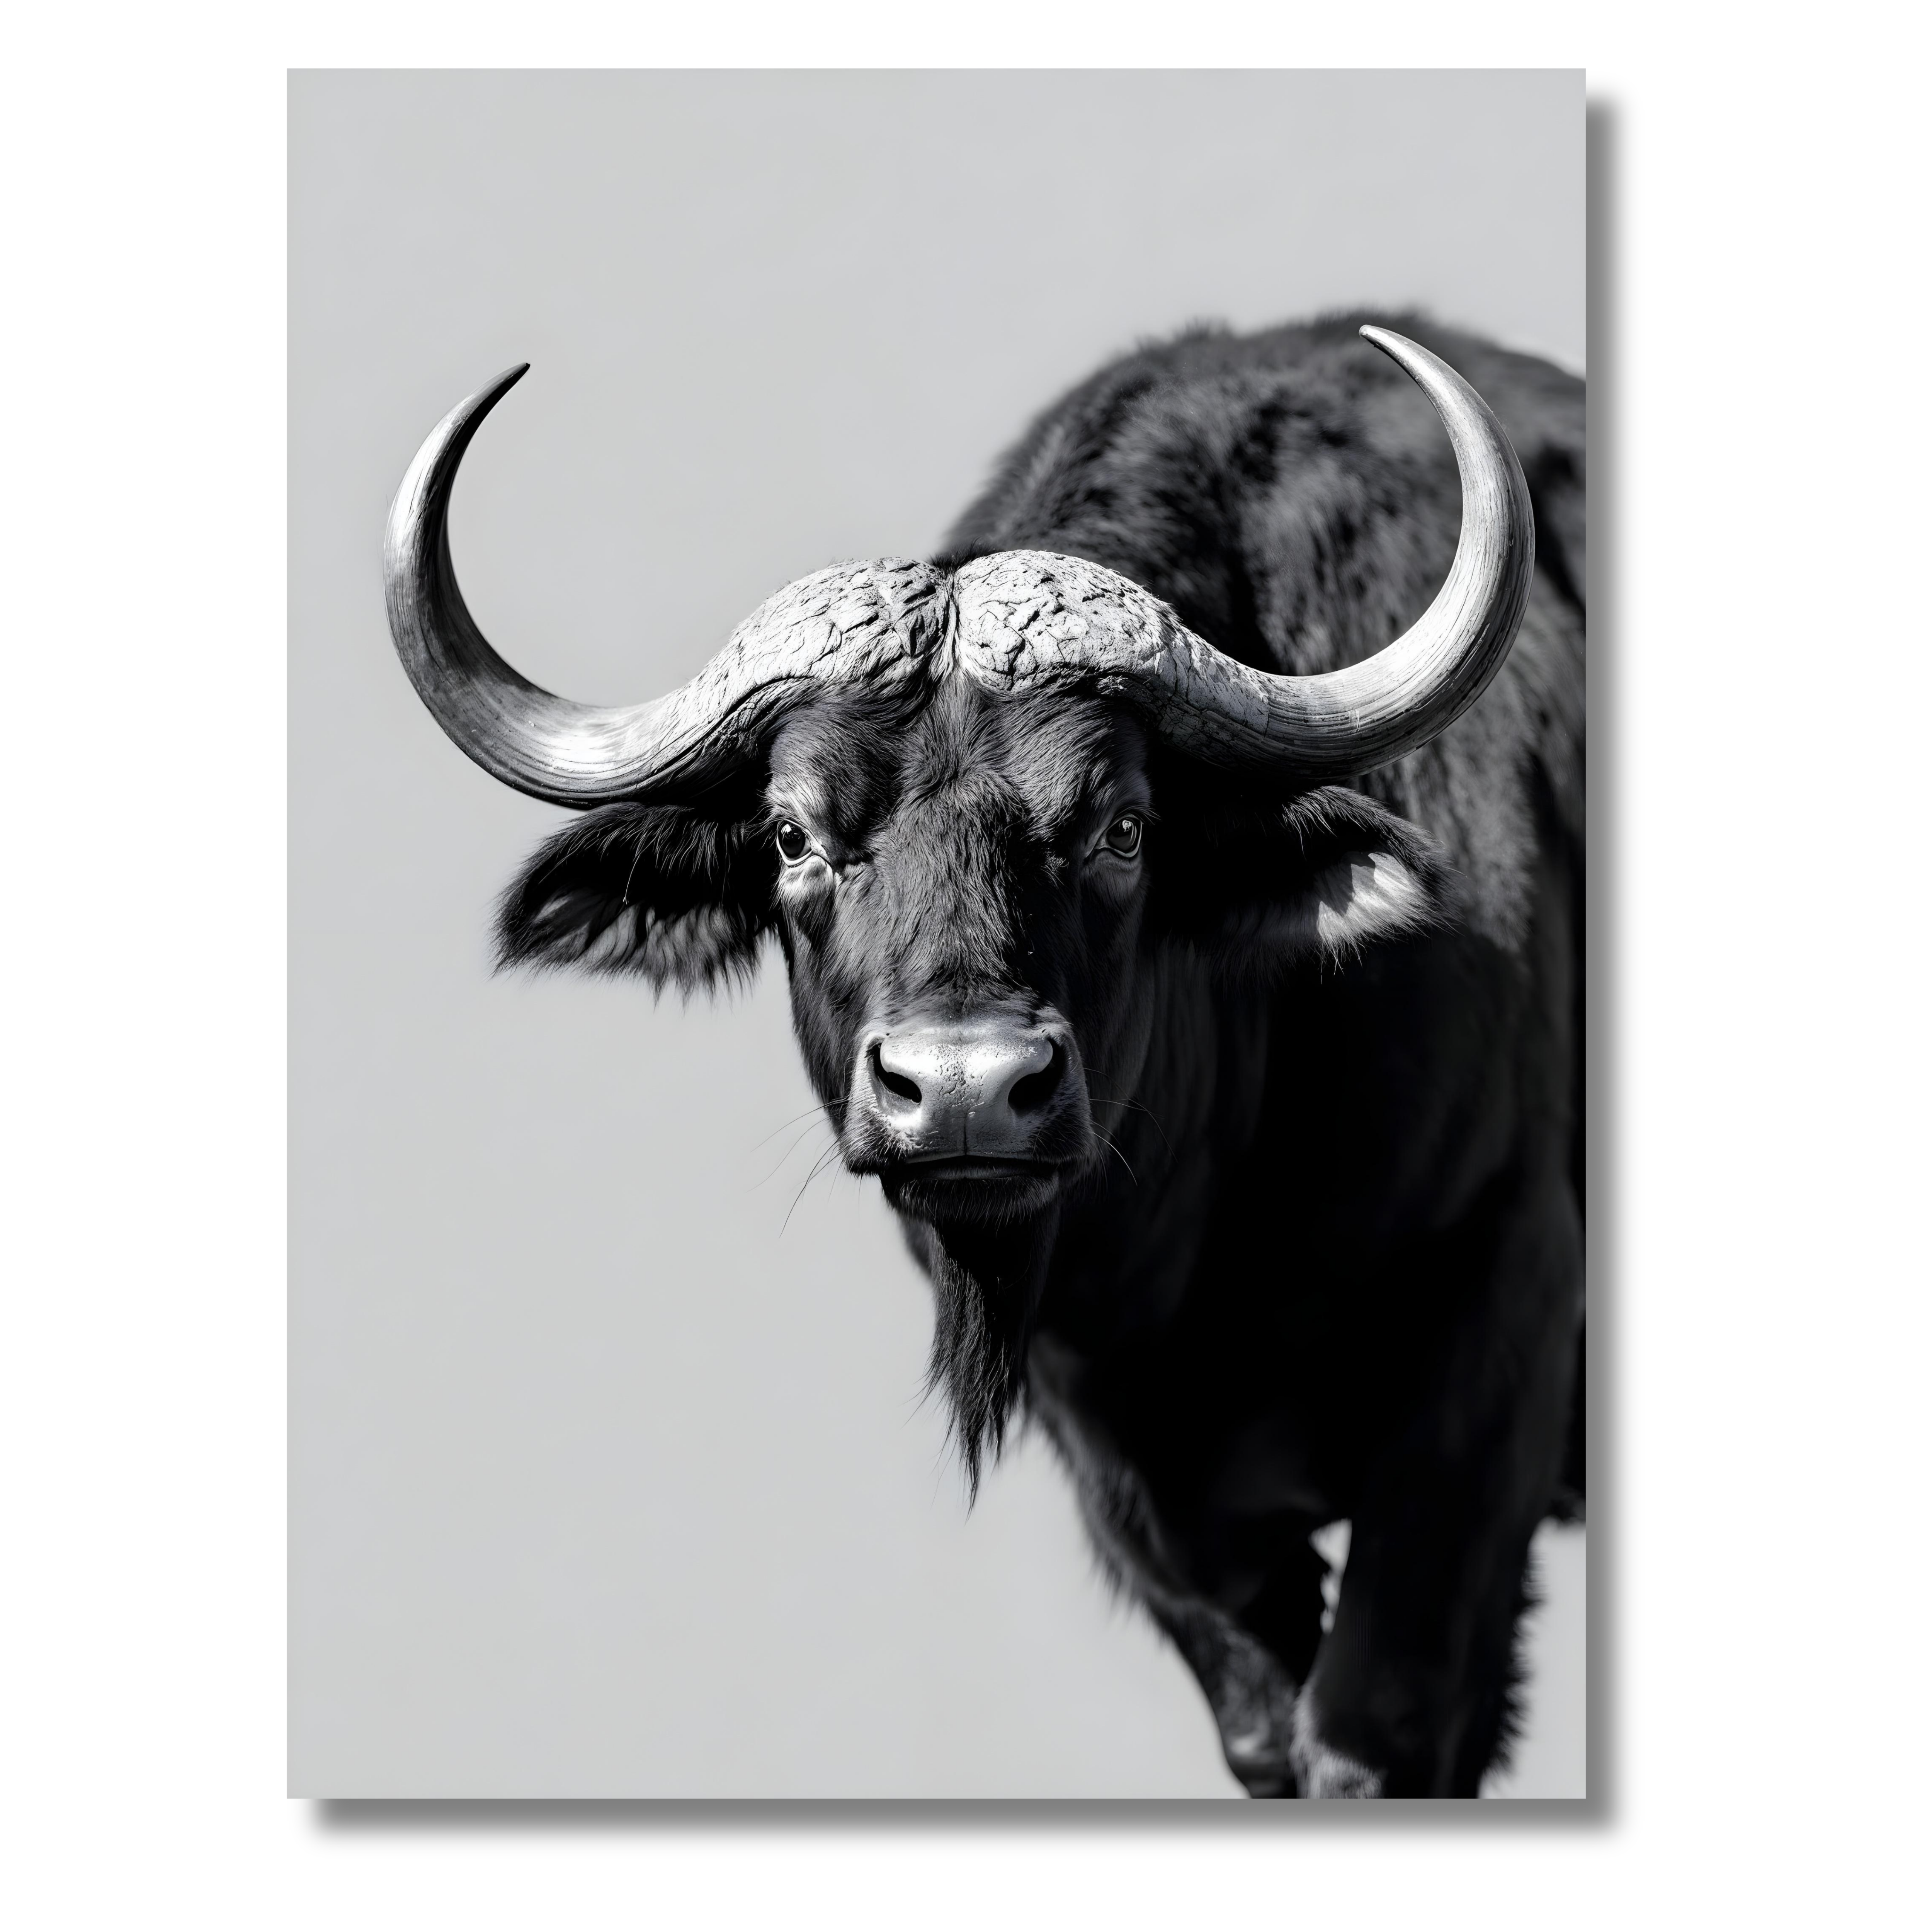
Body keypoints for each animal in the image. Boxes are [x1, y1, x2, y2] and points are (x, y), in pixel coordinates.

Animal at [383, 314, 1584, 1798]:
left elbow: (1374, 1733)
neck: (1204, 1255)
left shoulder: (1493, 1350)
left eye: (1123, 826)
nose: (965, 1092)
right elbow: (1266, 1729)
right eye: (792, 835)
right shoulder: (1145, 1487)